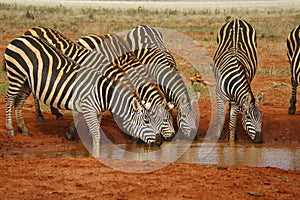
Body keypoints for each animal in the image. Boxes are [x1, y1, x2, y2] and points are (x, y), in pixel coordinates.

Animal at [3, 34, 162, 156]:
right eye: (147, 121)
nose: (160, 141)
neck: (104, 93)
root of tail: (20, 37)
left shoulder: (95, 110)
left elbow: (94, 128)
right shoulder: (89, 108)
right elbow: (96, 132)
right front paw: (96, 153)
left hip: (26, 81)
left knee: (19, 102)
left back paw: (24, 130)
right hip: (16, 74)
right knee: (9, 99)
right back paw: (11, 129)